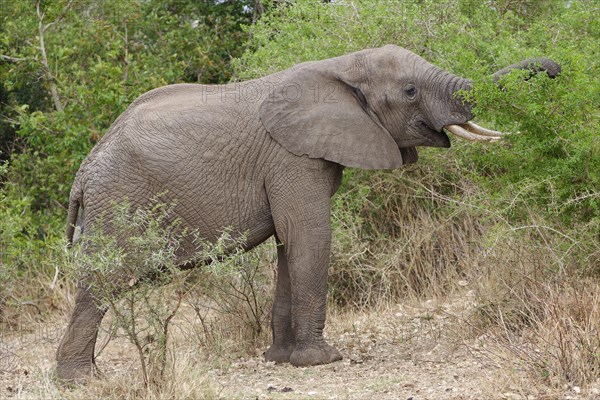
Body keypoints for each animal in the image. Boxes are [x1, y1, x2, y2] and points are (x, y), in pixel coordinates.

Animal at [55, 43, 556, 382]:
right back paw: (82, 380)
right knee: (102, 281)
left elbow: (288, 243)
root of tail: (84, 170)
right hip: (116, 200)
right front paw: (323, 360)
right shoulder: (291, 157)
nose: (555, 67)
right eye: (410, 90)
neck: (341, 65)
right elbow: (311, 235)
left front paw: (280, 360)